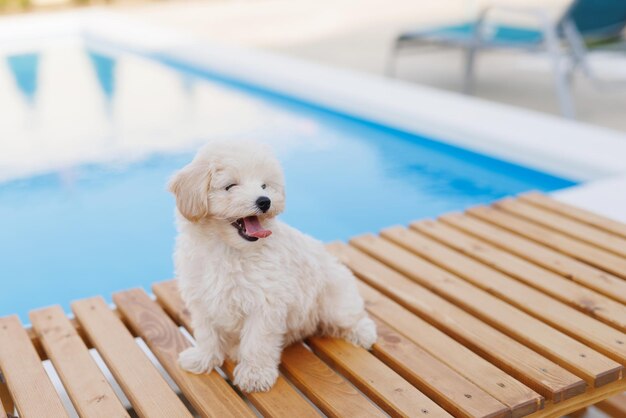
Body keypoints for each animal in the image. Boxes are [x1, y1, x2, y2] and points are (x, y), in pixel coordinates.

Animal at [168, 140, 376, 392]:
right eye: (230, 186)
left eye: (264, 185)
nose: (264, 201)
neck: (227, 249)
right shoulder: (202, 298)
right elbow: (207, 334)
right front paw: (203, 358)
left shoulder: (264, 303)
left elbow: (257, 342)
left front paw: (254, 374)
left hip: (334, 300)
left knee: (353, 317)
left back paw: (362, 333)